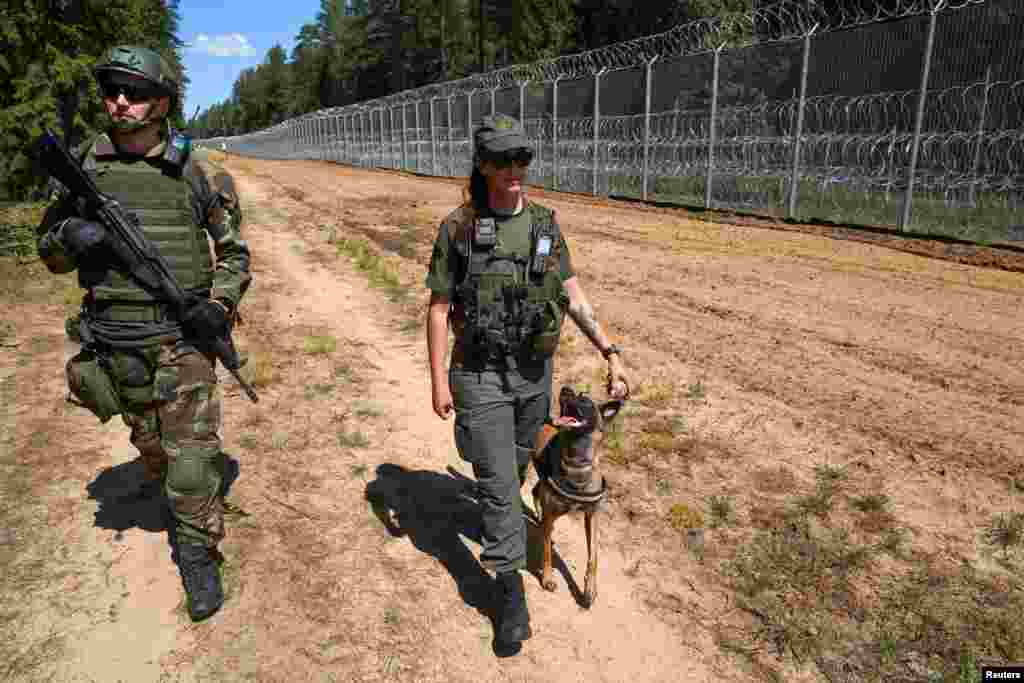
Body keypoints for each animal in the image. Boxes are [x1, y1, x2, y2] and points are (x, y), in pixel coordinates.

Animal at [532, 387, 626, 606]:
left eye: (585, 400)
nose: (565, 389)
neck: (576, 464)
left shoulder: (592, 517)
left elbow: (594, 557)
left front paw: (590, 588)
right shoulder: (551, 515)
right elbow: (547, 551)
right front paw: (547, 578)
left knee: (535, 492)